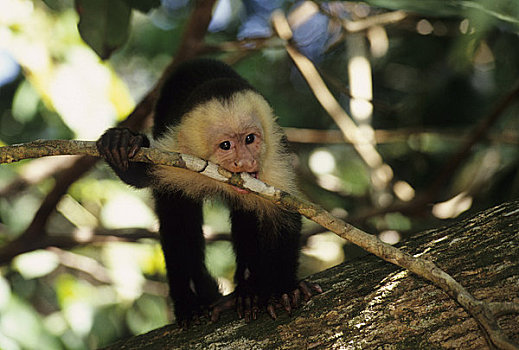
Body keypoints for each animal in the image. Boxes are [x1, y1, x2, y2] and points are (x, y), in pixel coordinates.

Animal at [95, 58, 318, 328]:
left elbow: (282, 216)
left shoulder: (273, 165)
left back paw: (249, 289)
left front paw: (283, 288)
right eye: (226, 145)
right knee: (177, 217)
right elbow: (141, 178)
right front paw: (122, 143)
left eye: (250, 139)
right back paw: (191, 301)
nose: (245, 163)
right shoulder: (178, 155)